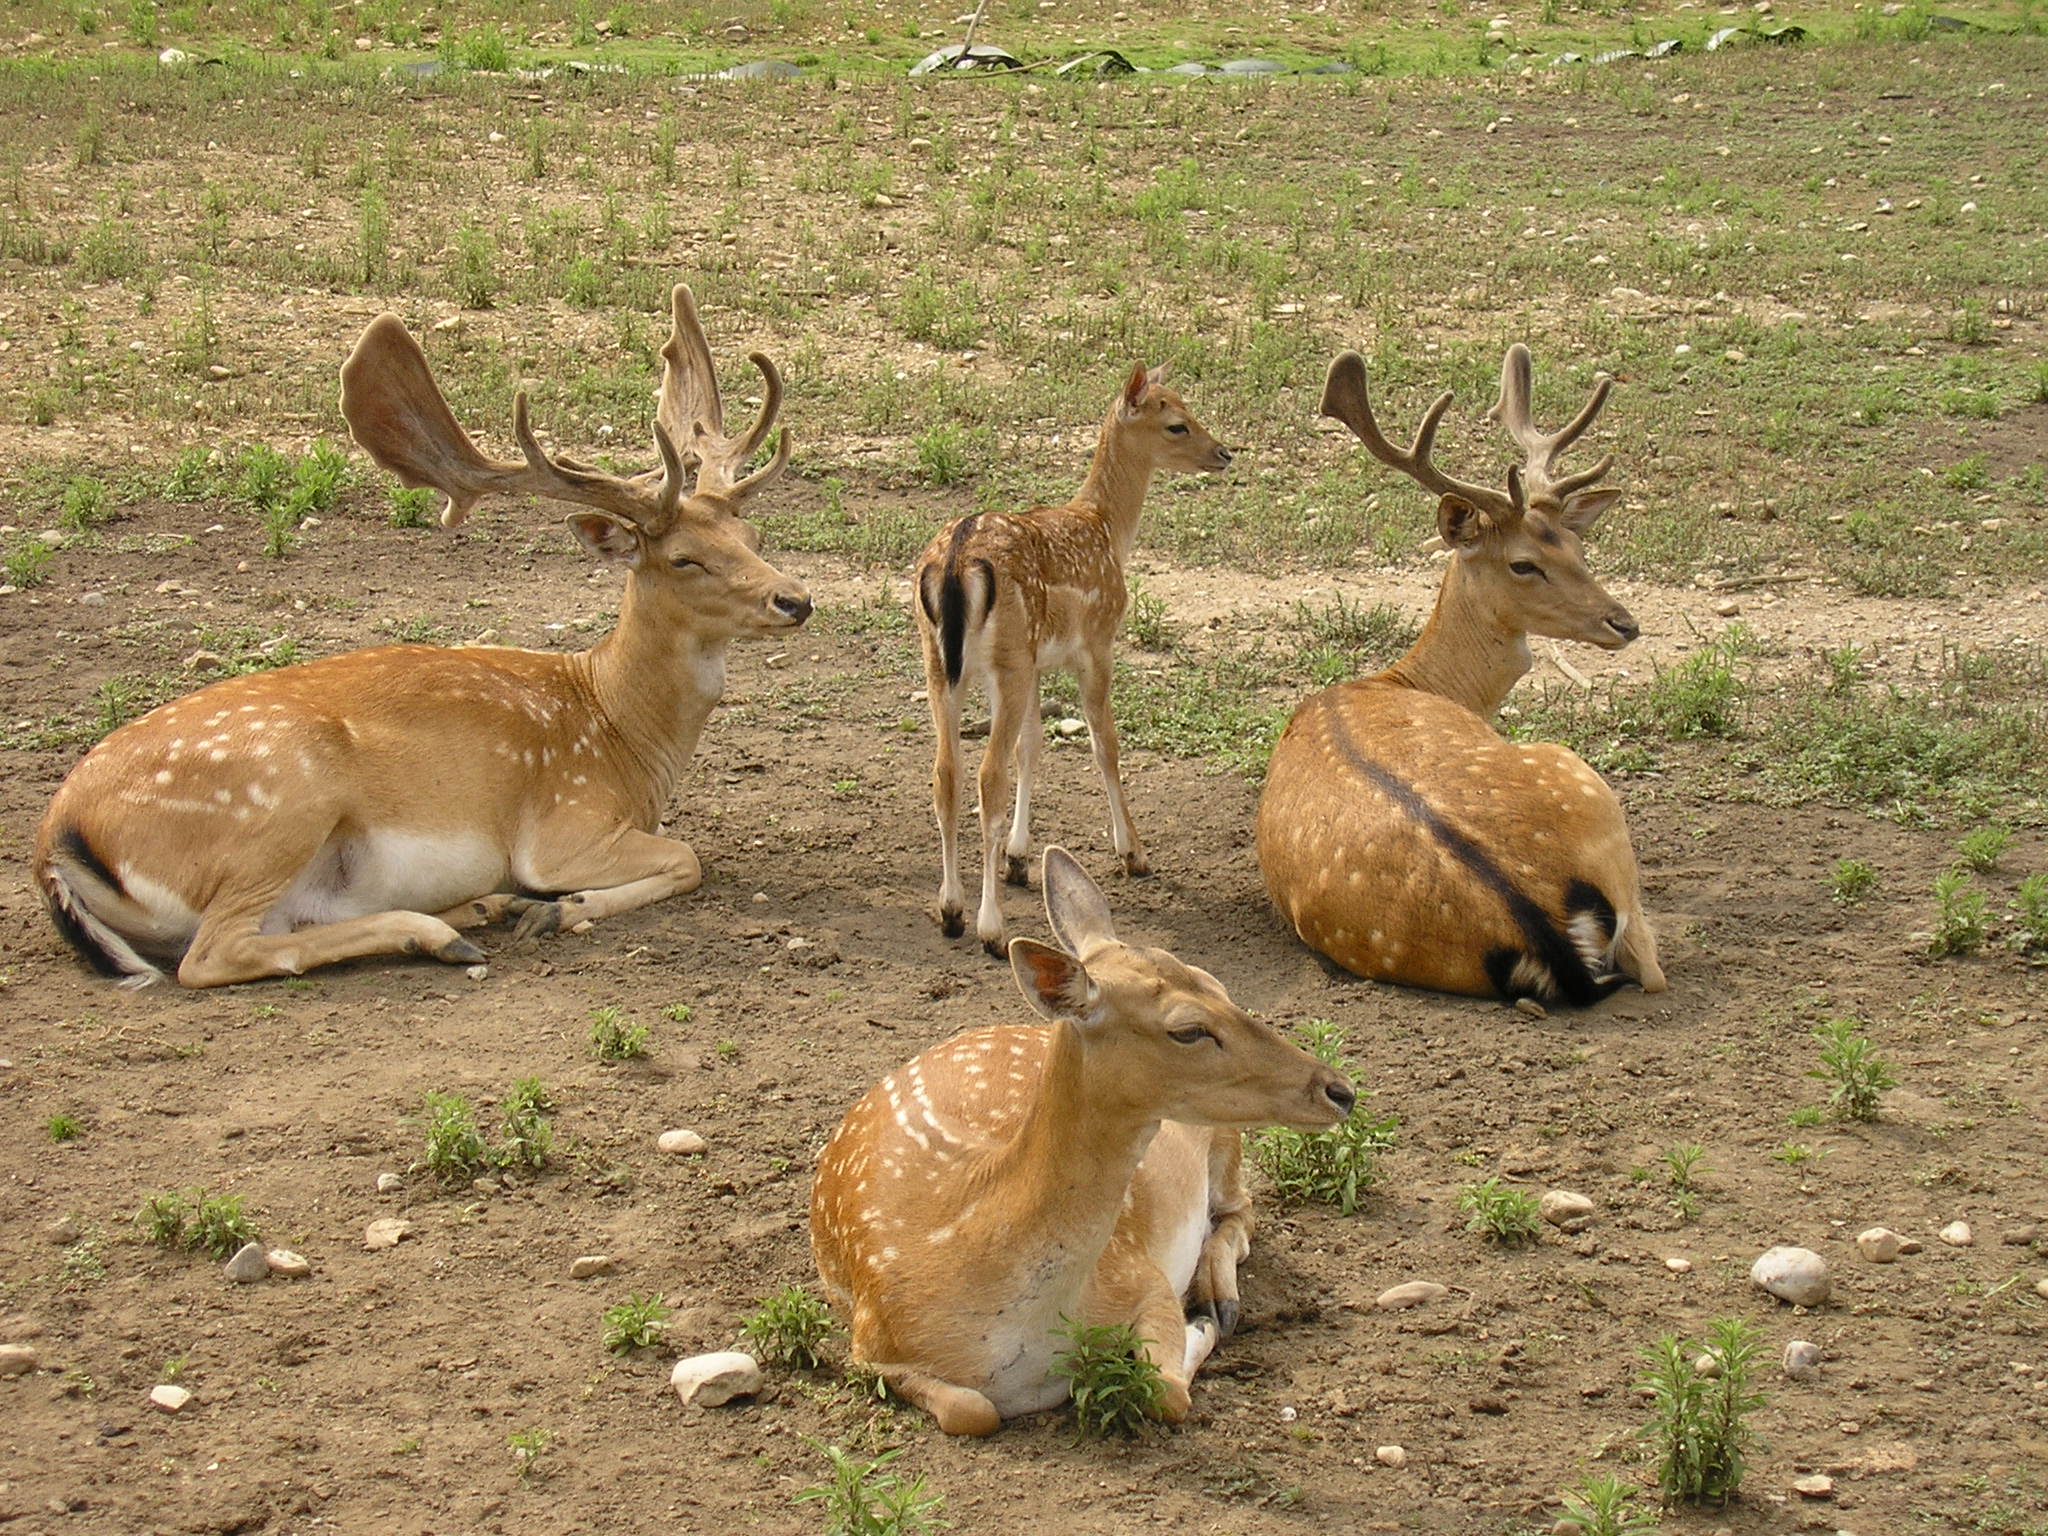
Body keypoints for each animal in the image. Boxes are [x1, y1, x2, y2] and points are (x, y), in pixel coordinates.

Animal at [34, 282, 806, 991]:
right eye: (684, 559)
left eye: (750, 537)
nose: (796, 599)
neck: (618, 731)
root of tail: (55, 845)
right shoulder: (565, 827)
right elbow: (687, 859)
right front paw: (556, 909)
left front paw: (533, 909)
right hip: (279, 801)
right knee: (213, 954)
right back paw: (439, 932)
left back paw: (476, 911)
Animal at [806, 847, 1351, 1441]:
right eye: (1188, 1029)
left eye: (1218, 985)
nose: (1339, 1089)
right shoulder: (870, 1342)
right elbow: (971, 1410)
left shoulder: (1141, 1274)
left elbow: (1165, 1390)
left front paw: (1198, 1327)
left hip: (1223, 1142)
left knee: (1241, 1210)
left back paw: (1217, 1297)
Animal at [917, 364, 1228, 958]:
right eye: (1176, 424)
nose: (1224, 453)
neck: (1107, 530)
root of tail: (957, 562)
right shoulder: (1096, 644)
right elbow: (1104, 744)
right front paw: (1133, 853)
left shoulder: (1036, 662)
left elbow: (1033, 746)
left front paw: (1019, 858)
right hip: (1005, 660)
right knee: (986, 775)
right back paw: (991, 928)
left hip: (941, 663)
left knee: (947, 771)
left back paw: (950, 910)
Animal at [1253, 342, 1671, 1003]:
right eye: (1524, 564)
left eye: (1578, 548)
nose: (1624, 623)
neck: (1403, 679)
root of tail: (1542, 922)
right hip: (1583, 780)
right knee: (1650, 968)